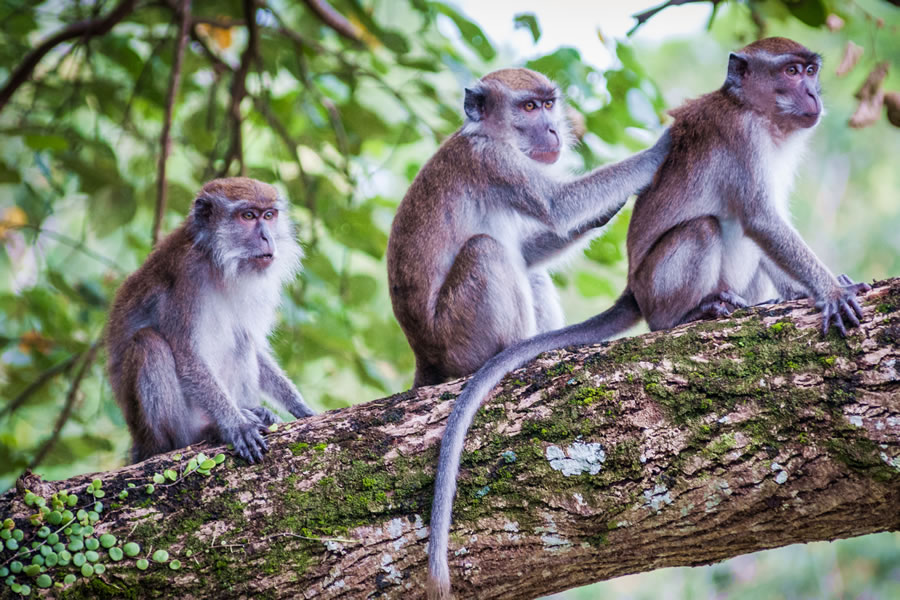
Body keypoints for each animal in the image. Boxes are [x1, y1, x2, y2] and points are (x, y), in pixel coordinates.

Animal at [105, 176, 314, 466]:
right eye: (248, 216)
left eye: (269, 216)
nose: (267, 237)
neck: (218, 262)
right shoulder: (187, 274)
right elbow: (187, 354)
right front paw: (236, 425)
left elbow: (253, 345)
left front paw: (301, 406)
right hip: (157, 432)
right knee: (149, 343)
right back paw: (203, 432)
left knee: (241, 340)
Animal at [384, 68, 668, 392]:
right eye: (529, 107)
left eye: (548, 105)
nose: (554, 131)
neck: (489, 134)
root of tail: (425, 357)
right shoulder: (495, 162)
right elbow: (558, 206)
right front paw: (660, 148)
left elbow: (526, 251)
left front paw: (609, 209)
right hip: (456, 339)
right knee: (486, 249)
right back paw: (513, 351)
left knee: (529, 272)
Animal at [428, 38, 872, 600]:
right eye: (792, 72)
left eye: (810, 70)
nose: (813, 93)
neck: (756, 114)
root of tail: (635, 291)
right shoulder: (743, 140)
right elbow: (762, 220)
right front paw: (831, 292)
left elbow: (765, 230)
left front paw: (812, 288)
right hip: (659, 285)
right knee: (705, 228)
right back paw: (691, 313)